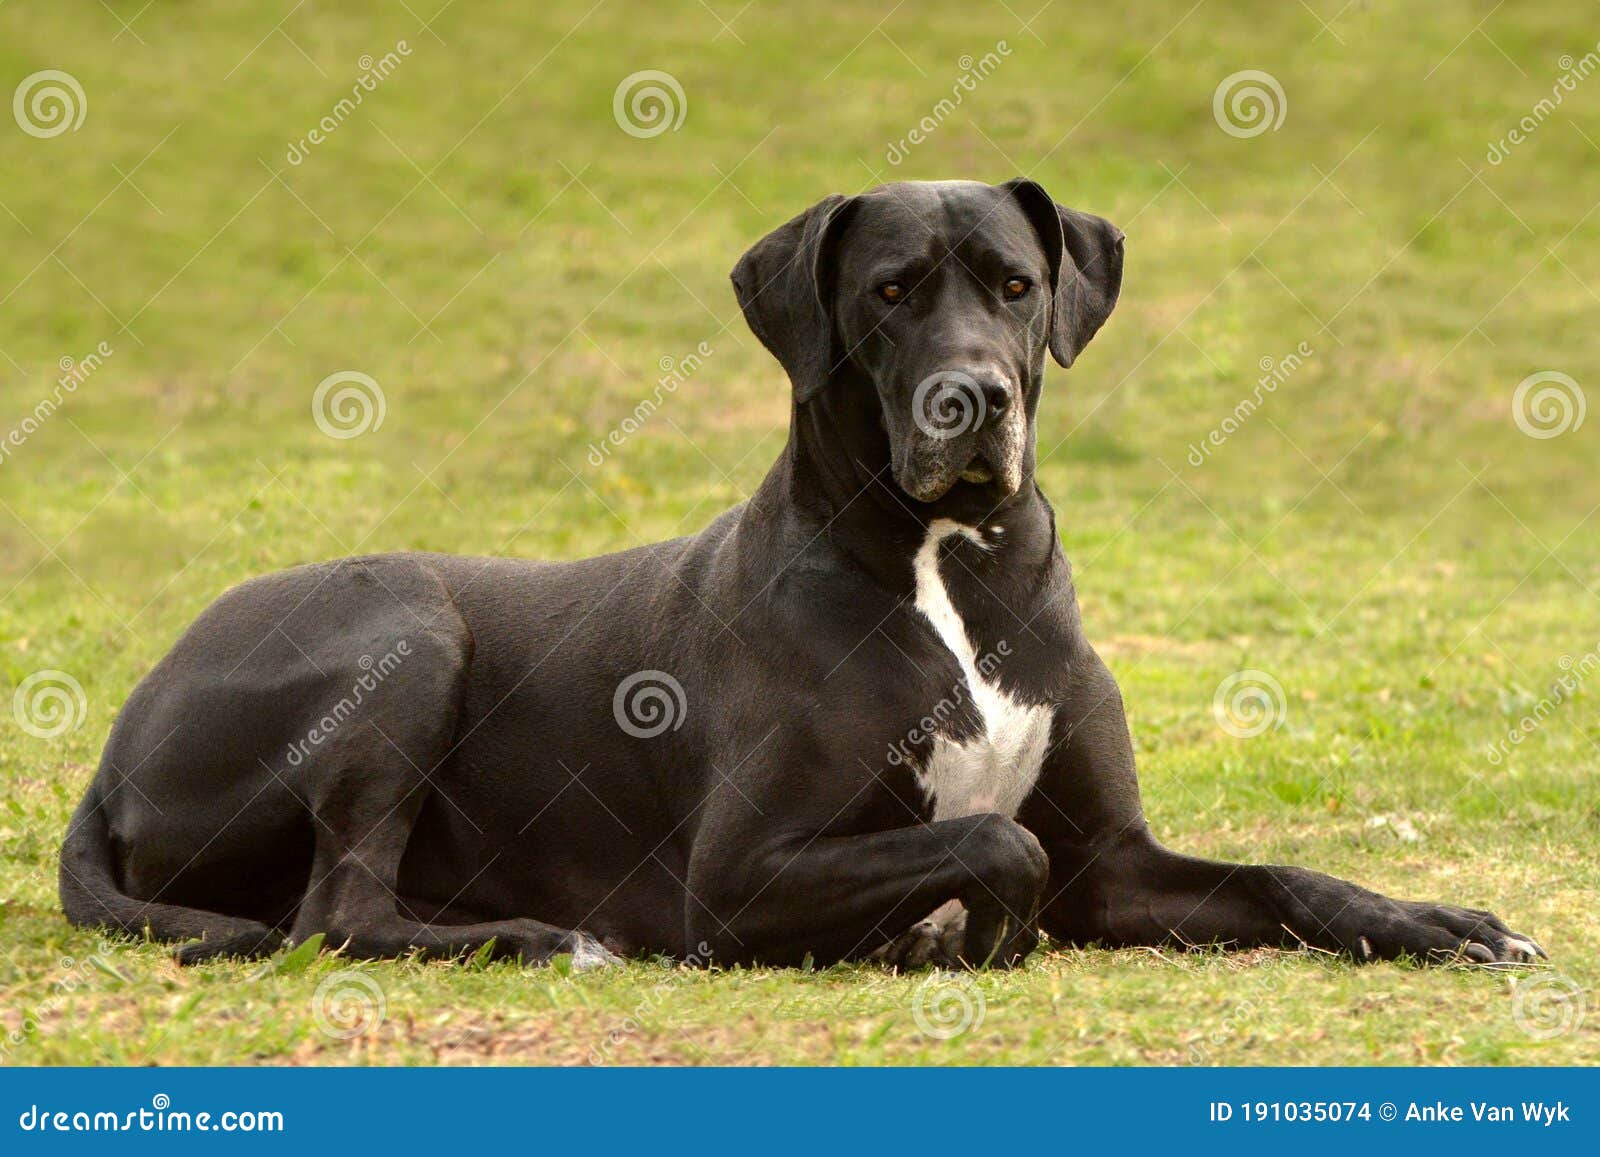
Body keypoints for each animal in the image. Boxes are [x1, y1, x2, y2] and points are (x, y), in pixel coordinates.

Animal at [59, 180, 1536, 972]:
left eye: (1014, 284)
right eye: (888, 291)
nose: (972, 398)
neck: (944, 567)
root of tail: (114, 749)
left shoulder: (1115, 864)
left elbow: (1286, 876)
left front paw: (1443, 919)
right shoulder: (736, 876)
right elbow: (990, 839)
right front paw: (948, 934)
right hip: (405, 622)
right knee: (339, 907)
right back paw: (548, 936)